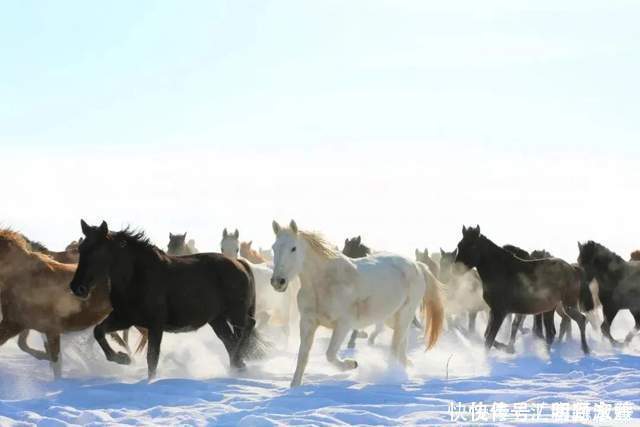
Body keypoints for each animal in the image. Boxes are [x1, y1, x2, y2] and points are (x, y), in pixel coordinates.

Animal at [69, 221, 262, 382]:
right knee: (230, 340)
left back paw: (237, 361)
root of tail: (240, 264)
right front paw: (123, 358)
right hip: (217, 320)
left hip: (234, 313)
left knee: (248, 325)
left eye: (97, 251)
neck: (137, 277)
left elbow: (152, 358)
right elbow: (98, 331)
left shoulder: (155, 324)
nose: (77, 287)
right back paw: (237, 367)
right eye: (81, 249)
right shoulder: (124, 318)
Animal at [268, 221, 442, 388]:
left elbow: (330, 354)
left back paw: (391, 375)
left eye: (293, 248)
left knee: (395, 347)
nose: (278, 281)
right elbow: (303, 356)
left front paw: (352, 364)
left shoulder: (343, 324)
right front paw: (294, 386)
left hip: (405, 314)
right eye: (274, 248)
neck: (324, 283)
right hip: (392, 318)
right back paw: (405, 366)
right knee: (402, 343)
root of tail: (417, 265)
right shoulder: (307, 322)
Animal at [456, 227, 592, 354]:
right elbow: (488, 336)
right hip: (550, 308)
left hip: (567, 305)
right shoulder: (494, 311)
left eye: (473, 245)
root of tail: (573, 269)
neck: (501, 271)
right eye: (459, 245)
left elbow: (489, 340)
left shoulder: (500, 311)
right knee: (552, 333)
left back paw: (585, 349)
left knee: (580, 320)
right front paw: (508, 348)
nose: (456, 269)